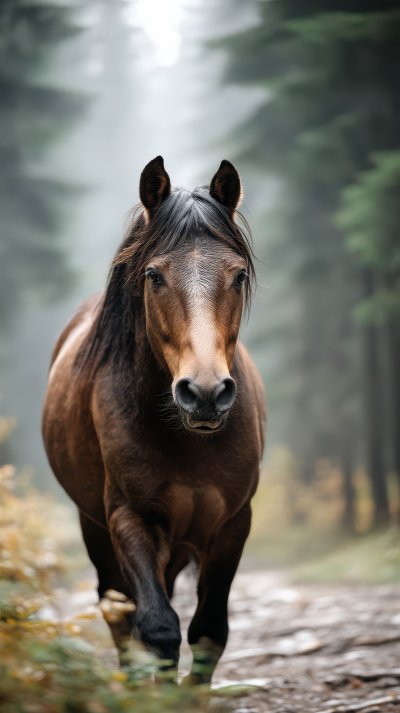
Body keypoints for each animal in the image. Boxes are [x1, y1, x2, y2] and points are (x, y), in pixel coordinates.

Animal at [42, 156, 265, 683]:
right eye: (154, 275)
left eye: (238, 276)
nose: (204, 394)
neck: (187, 439)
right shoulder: (130, 517)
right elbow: (157, 627)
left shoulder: (233, 524)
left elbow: (209, 630)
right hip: (95, 529)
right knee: (117, 609)